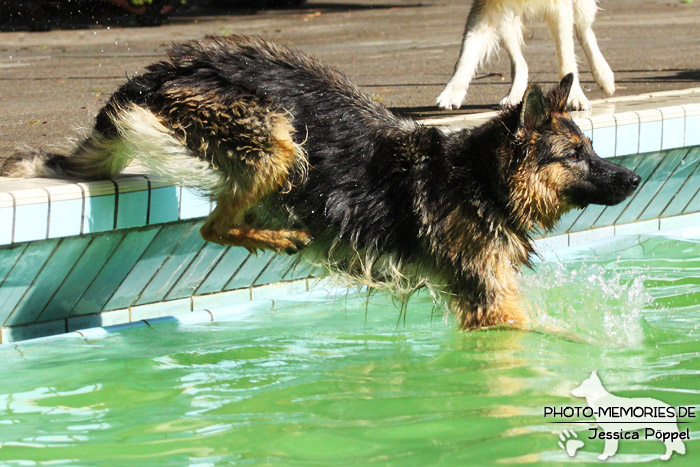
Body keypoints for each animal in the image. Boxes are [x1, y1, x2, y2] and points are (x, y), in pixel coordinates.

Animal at [4, 35, 640, 330]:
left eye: (592, 148)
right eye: (576, 155)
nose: (633, 177)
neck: (480, 180)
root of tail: (162, 71)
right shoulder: (489, 302)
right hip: (279, 138)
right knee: (214, 225)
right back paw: (279, 237)